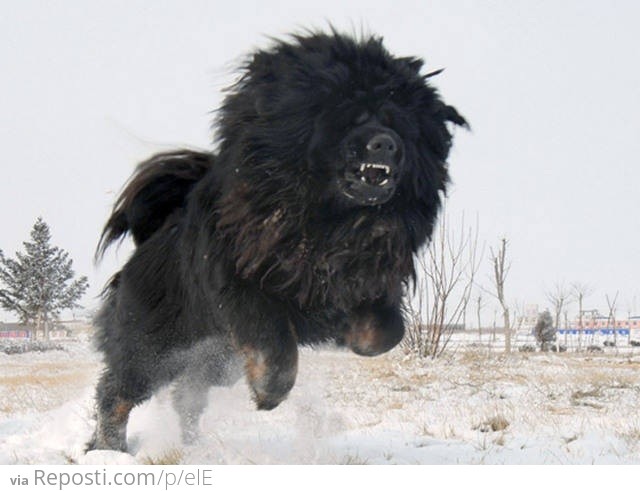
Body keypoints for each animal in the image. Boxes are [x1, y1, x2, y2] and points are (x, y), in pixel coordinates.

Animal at [86, 29, 464, 454]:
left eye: (398, 123)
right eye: (349, 117)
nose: (386, 143)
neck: (331, 225)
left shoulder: (371, 279)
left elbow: (387, 332)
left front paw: (349, 333)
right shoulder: (241, 285)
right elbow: (277, 346)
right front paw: (269, 391)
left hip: (212, 362)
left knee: (187, 397)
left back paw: (193, 446)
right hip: (154, 346)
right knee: (116, 393)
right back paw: (109, 448)